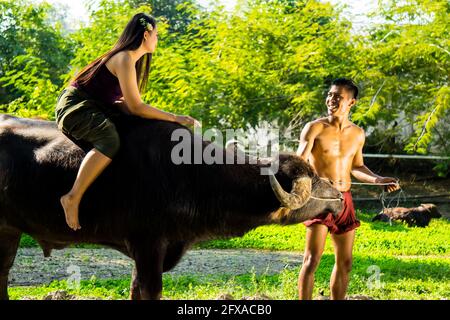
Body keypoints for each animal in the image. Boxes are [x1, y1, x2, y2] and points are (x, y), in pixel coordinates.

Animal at [0, 113, 342, 300]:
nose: (339, 197)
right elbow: (151, 290)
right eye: (312, 179)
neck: (190, 176)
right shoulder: (148, 246)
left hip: (9, 231)